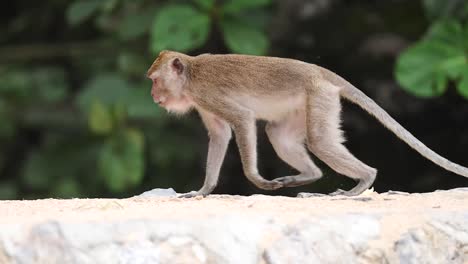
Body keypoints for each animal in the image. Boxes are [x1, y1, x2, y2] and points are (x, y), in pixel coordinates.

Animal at [146, 50, 468, 197]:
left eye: (155, 80)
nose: (152, 95)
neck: (191, 75)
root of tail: (319, 72)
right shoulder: (202, 102)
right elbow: (220, 134)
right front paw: (203, 190)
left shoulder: (206, 93)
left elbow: (242, 119)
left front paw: (257, 179)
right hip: (308, 104)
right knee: (279, 134)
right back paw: (308, 176)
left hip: (320, 97)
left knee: (320, 141)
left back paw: (361, 183)